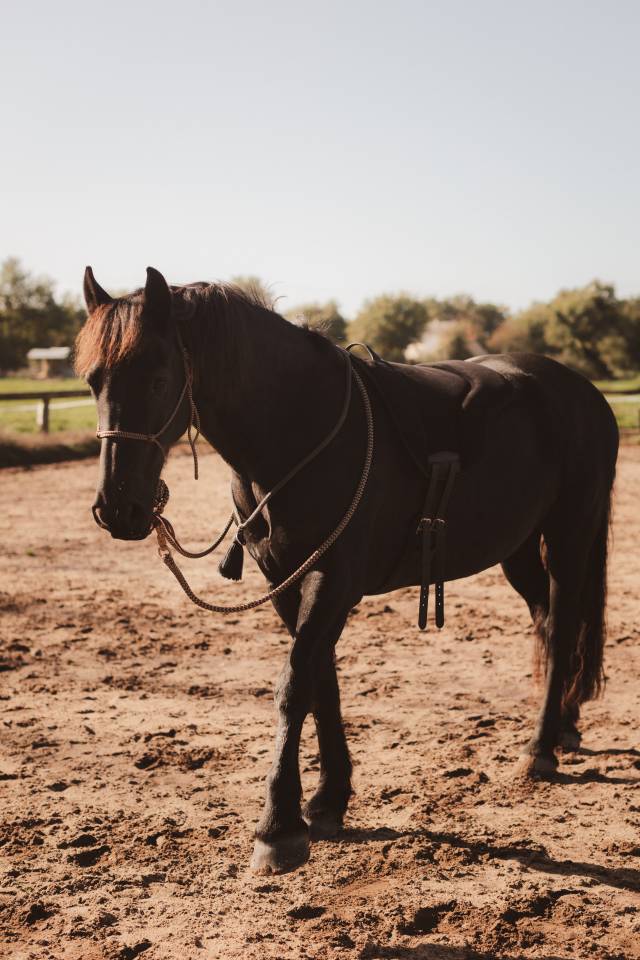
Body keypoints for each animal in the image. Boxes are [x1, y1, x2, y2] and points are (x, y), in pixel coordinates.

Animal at [76, 266, 619, 875]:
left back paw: (541, 747)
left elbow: (295, 685)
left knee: (564, 624)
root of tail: (582, 392)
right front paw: (329, 799)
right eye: (94, 380)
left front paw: (279, 827)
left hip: (570, 535)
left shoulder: (333, 581)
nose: (117, 508)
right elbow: (321, 685)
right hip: (516, 546)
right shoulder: (286, 582)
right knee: (549, 624)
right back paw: (565, 724)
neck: (297, 431)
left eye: (157, 375)